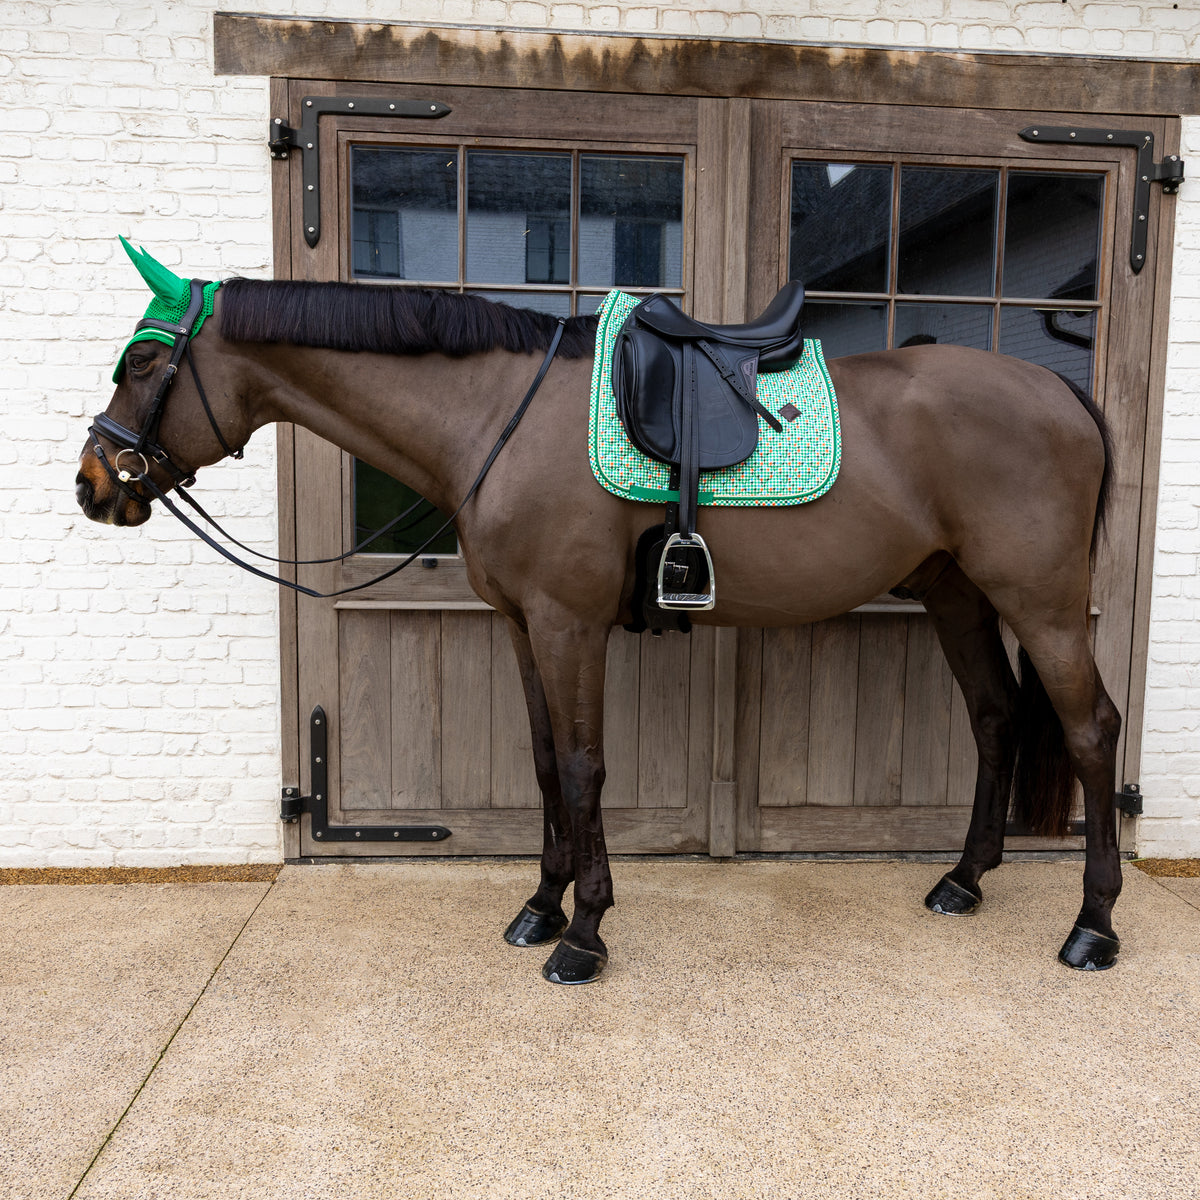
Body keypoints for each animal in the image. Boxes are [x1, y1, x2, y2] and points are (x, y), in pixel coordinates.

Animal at [77, 255, 1122, 984]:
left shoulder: (567, 624)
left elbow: (584, 767)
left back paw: (1092, 926)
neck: (495, 414)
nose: (93, 483)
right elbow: (546, 765)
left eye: (142, 360)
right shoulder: (521, 624)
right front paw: (541, 907)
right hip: (956, 592)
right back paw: (964, 881)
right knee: (995, 717)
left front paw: (582, 935)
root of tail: (1060, 391)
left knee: (1090, 730)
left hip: (1042, 603)